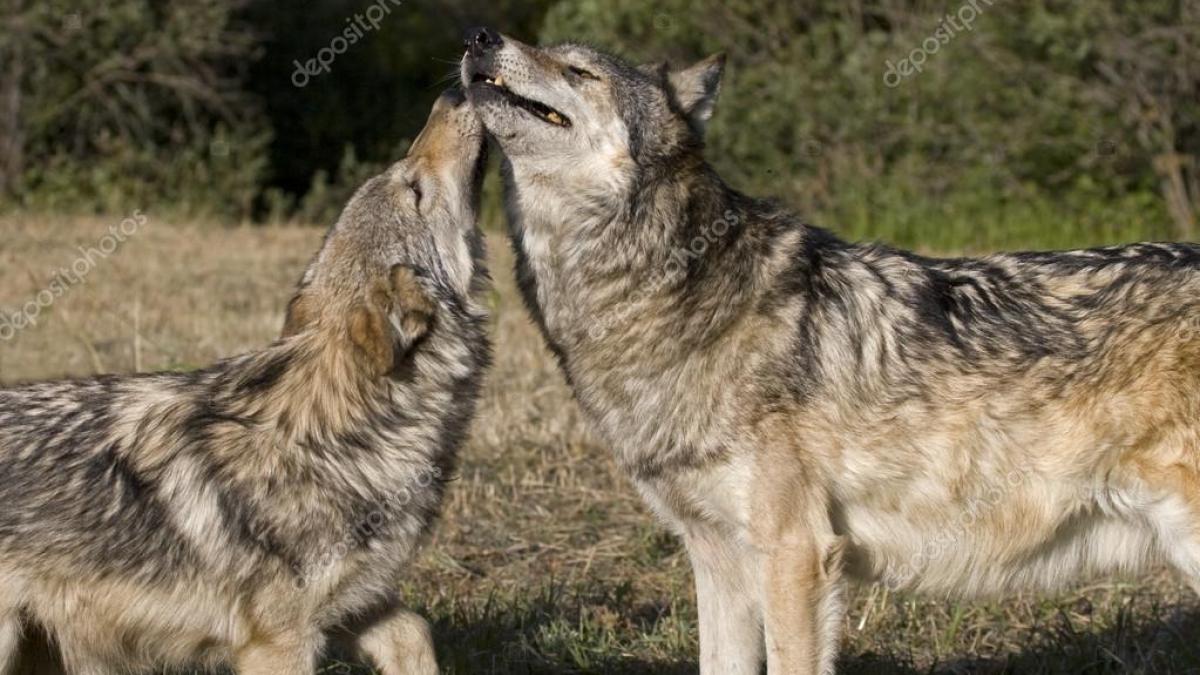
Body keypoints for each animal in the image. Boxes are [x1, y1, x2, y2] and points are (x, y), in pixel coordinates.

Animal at [0, 89, 489, 675]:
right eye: (413, 188)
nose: (453, 92)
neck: (337, 437)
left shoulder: (357, 603)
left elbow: (416, 632)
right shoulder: (279, 641)